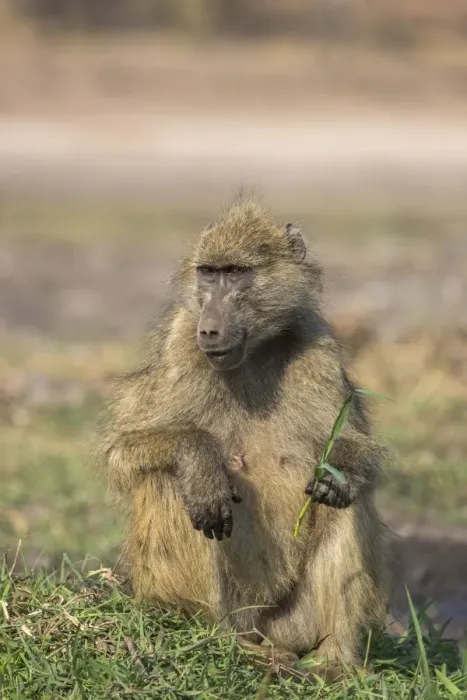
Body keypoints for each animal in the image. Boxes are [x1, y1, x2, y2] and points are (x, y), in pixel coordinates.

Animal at [97, 196, 389, 682]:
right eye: (208, 274)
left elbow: (356, 452)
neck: (253, 354)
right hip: (201, 604)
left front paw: (341, 470)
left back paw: (334, 660)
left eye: (236, 273)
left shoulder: (319, 350)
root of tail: (260, 628)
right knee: (169, 483)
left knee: (345, 503)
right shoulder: (180, 344)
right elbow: (120, 452)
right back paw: (228, 642)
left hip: (291, 621)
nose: (210, 329)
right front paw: (200, 463)